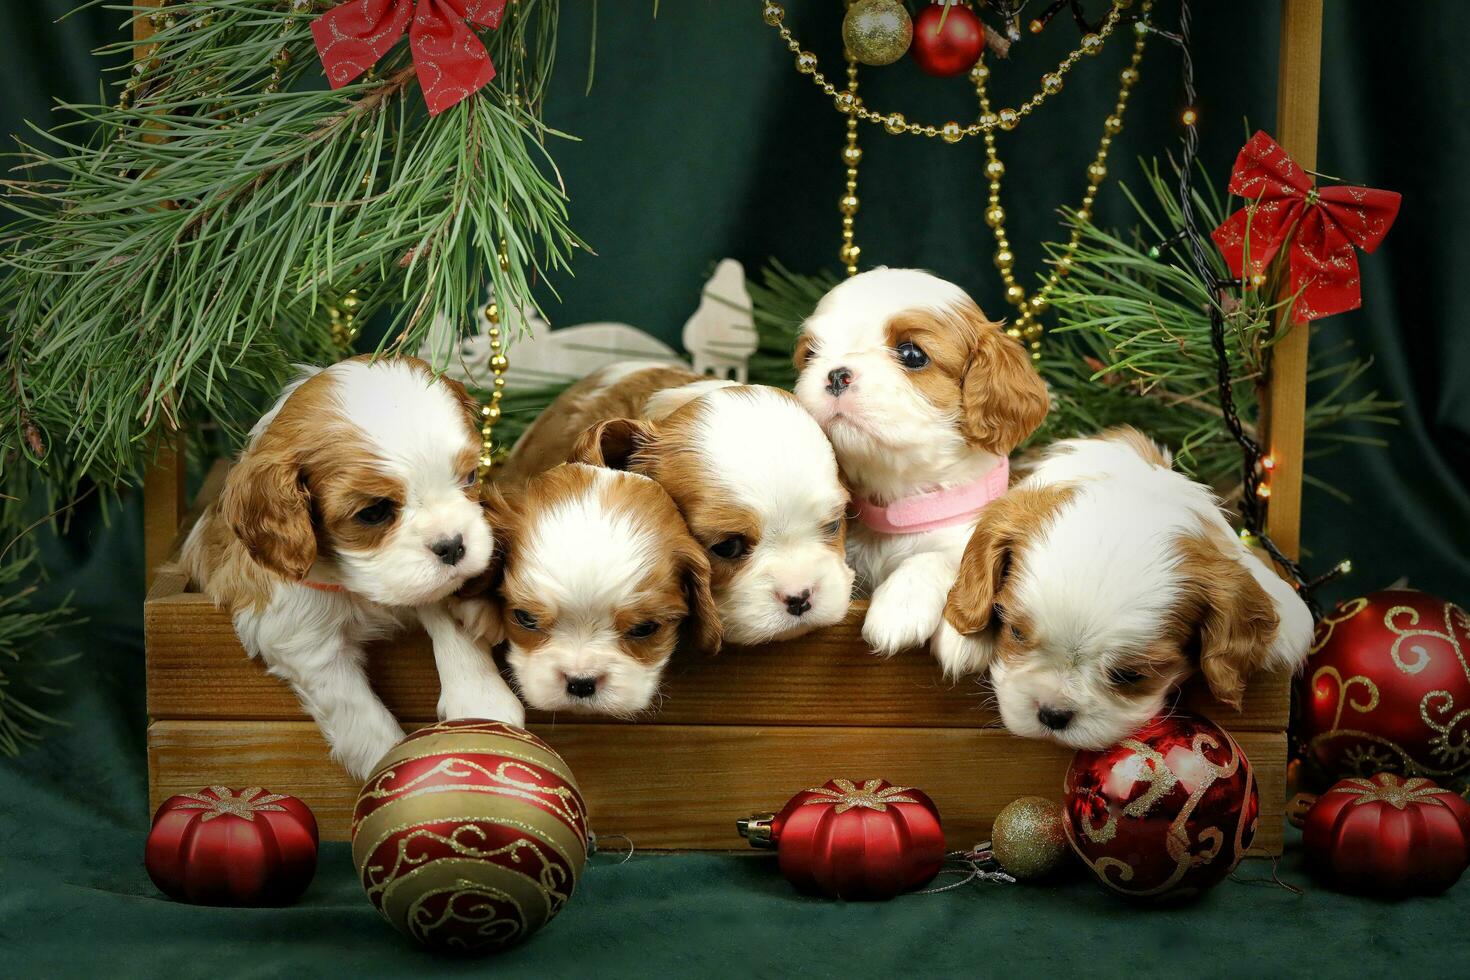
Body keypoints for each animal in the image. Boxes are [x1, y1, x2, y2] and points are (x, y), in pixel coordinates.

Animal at [186, 357, 523, 775]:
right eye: (374, 512)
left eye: (472, 476)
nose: (453, 546)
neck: (356, 585)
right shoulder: (300, 636)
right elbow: (360, 716)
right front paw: (390, 771)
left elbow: (442, 607)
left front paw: (481, 699)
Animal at [793, 268, 1058, 667]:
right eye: (810, 354)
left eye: (912, 354)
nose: (836, 374)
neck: (902, 505)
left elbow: (947, 555)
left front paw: (904, 606)